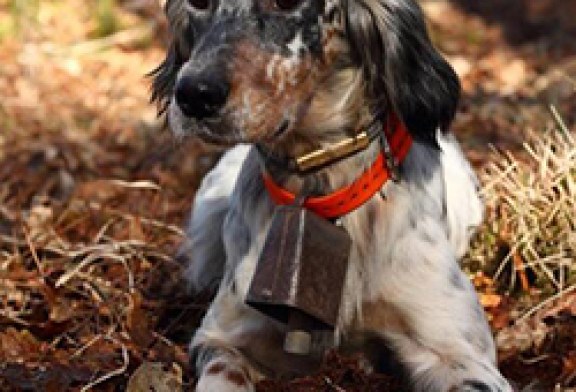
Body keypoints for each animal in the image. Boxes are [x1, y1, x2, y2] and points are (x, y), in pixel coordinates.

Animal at [151, 0, 510, 392]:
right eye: (198, 3)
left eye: (286, 4)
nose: (194, 95)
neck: (319, 192)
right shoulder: (223, 337)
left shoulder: (461, 356)